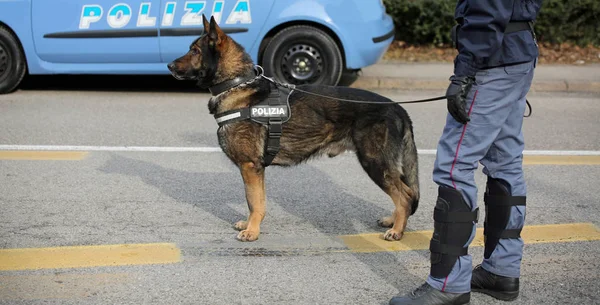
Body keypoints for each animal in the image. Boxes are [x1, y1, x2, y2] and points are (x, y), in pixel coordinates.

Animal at [166, 15, 420, 241]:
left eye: (195, 51)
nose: (168, 65)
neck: (236, 84)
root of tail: (397, 107)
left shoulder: (250, 167)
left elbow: (253, 202)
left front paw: (252, 232)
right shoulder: (256, 170)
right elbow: (256, 201)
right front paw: (250, 225)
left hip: (375, 163)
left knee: (405, 196)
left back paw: (397, 230)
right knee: (405, 193)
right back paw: (393, 220)